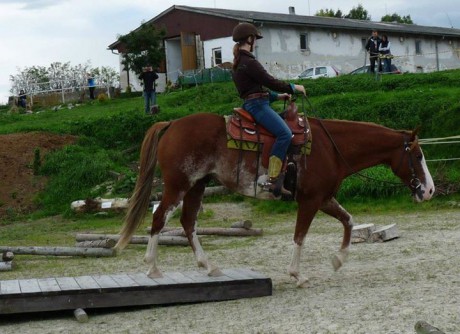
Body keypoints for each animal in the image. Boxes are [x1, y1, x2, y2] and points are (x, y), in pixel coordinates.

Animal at [115, 110, 434, 288]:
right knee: (159, 217)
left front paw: (338, 260)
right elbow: (300, 236)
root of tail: (171, 124)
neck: (331, 148)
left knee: (188, 222)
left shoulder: (324, 198)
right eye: (418, 155)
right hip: (179, 185)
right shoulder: (310, 201)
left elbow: (349, 221)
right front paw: (298, 275)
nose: (429, 190)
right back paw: (153, 267)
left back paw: (209, 266)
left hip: (197, 186)